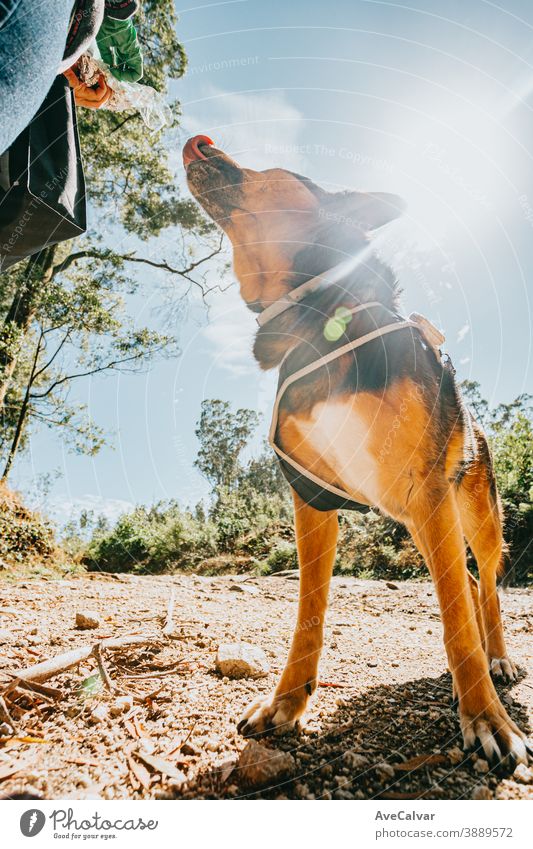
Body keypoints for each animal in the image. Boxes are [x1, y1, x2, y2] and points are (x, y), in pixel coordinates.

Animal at [184, 134, 528, 768]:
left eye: (277, 172)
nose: (199, 143)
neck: (321, 321)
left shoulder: (429, 492)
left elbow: (457, 620)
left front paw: (487, 719)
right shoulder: (314, 499)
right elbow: (309, 614)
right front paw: (287, 703)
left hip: (470, 514)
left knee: (485, 587)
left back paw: (496, 659)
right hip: (421, 519)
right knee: (467, 586)